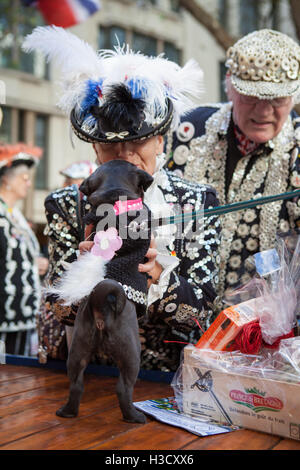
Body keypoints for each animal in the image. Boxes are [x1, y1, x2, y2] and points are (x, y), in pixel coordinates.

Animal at [56, 160, 154, 424]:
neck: (114, 194)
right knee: (123, 388)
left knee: (76, 385)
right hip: (131, 355)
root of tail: (102, 302)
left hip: (78, 350)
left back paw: (67, 412)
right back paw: (134, 416)